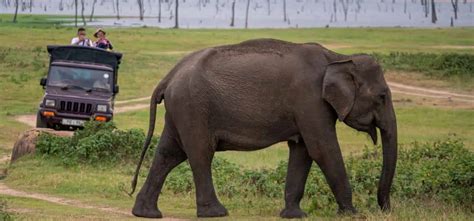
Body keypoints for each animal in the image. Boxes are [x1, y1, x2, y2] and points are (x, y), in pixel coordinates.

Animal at [129, 38, 396, 219]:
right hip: (193, 107)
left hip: (181, 108)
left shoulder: (306, 108)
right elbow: (322, 149)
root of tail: (168, 76)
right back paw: (216, 212)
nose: (384, 209)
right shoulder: (310, 101)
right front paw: (352, 214)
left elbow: (302, 151)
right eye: (382, 96)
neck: (337, 57)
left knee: (169, 153)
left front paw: (294, 215)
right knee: (200, 154)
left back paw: (146, 213)